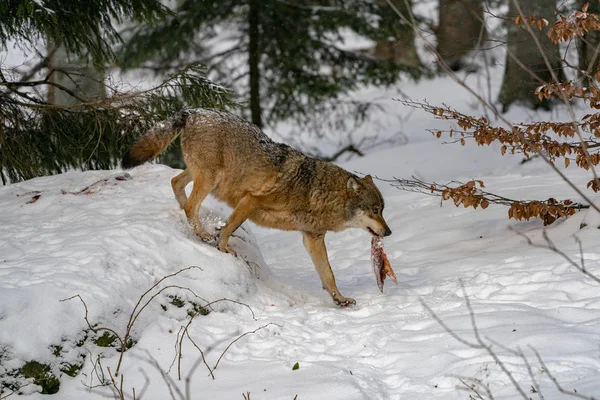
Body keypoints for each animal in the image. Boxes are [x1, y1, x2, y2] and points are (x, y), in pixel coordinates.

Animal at [122, 109, 394, 306]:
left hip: (205, 177)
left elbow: (328, 274)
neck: (316, 192)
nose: (389, 232)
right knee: (190, 204)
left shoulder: (312, 239)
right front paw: (223, 247)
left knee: (177, 185)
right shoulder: (251, 200)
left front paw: (341, 299)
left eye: (382, 210)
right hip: (210, 179)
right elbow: (230, 227)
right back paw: (201, 233)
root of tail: (192, 111)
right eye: (375, 210)